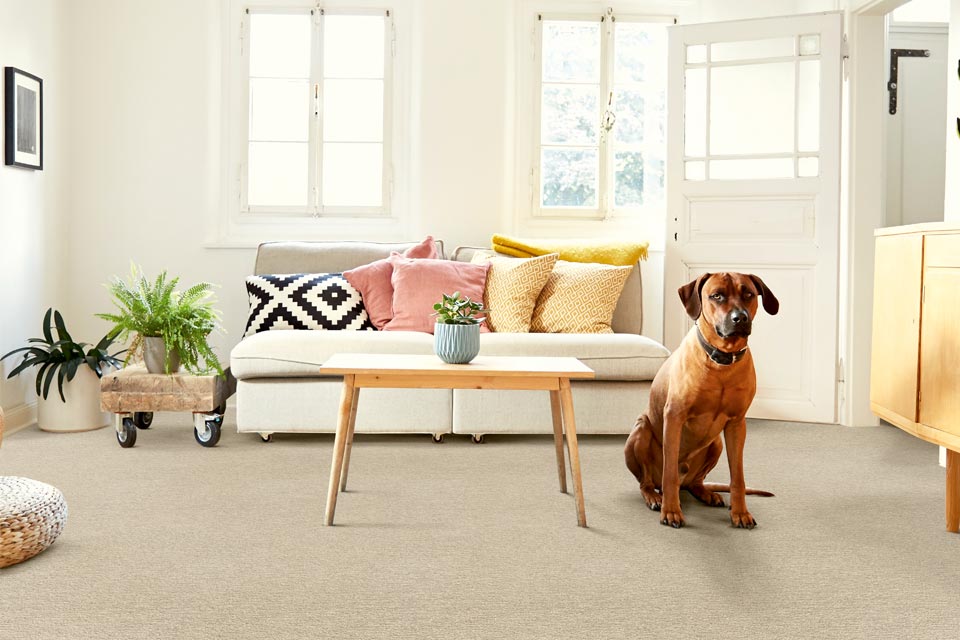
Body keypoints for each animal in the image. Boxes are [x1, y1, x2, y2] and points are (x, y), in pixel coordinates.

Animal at [628, 272, 776, 528]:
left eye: (748, 293)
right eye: (716, 296)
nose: (740, 318)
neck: (722, 362)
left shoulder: (737, 423)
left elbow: (738, 477)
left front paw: (740, 512)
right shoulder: (674, 417)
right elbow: (669, 473)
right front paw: (671, 511)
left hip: (715, 443)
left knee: (694, 483)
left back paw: (706, 493)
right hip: (641, 430)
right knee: (648, 481)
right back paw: (655, 497)